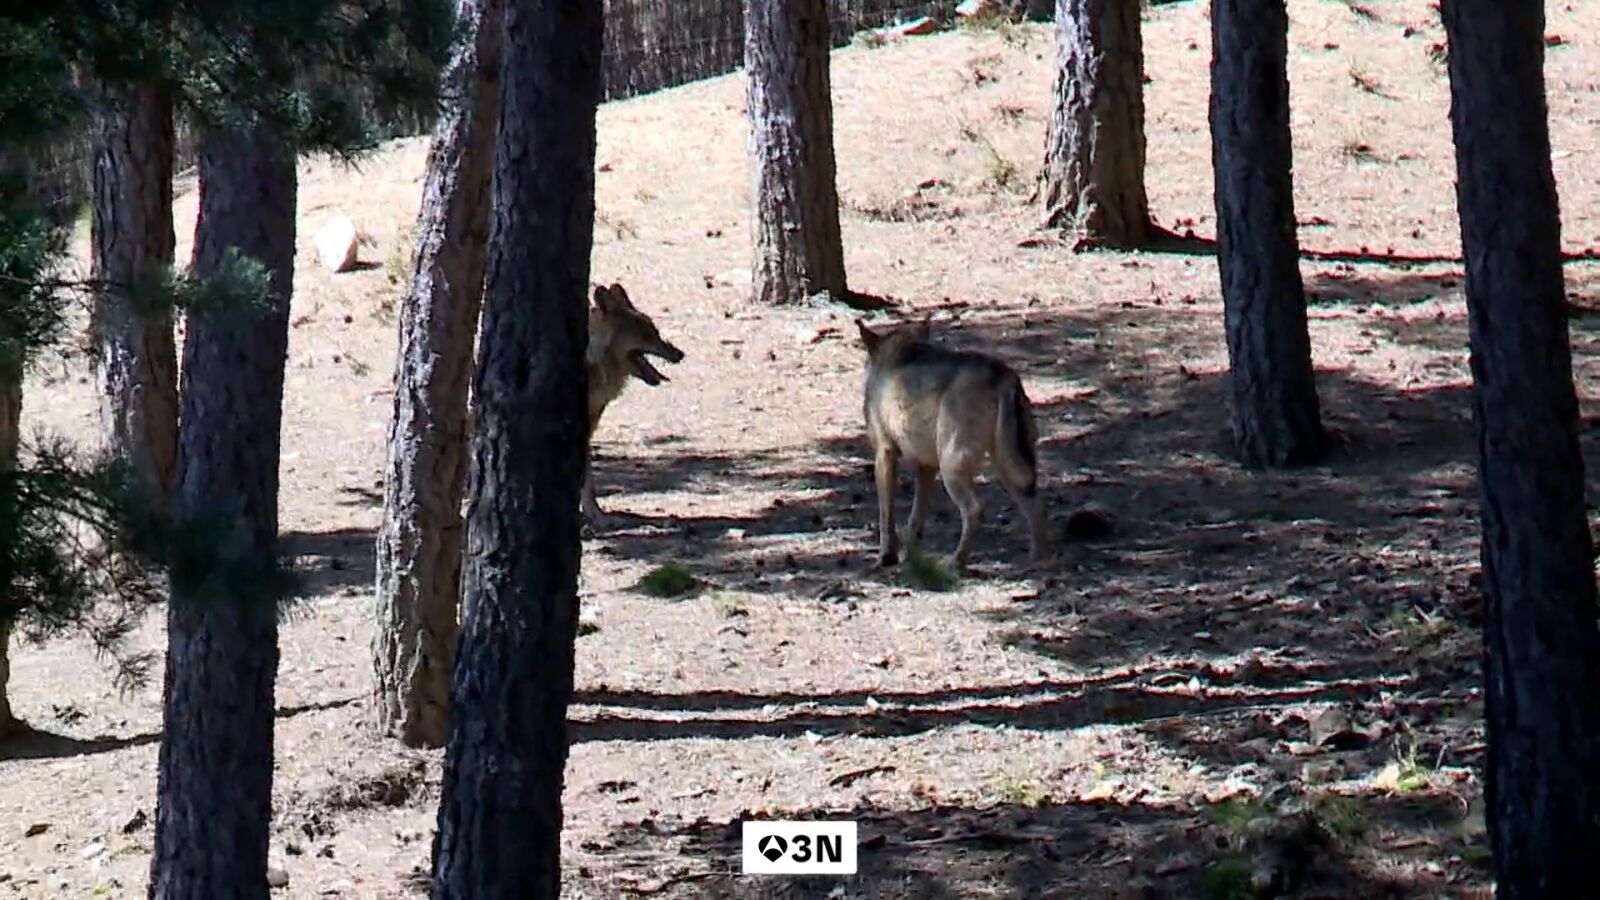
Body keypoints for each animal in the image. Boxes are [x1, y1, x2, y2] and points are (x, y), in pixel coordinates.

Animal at [856, 317, 1049, 570]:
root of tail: (1001, 374)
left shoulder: (885, 456)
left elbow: (886, 517)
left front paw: (886, 557)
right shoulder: (926, 468)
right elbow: (916, 519)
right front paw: (911, 556)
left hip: (953, 472)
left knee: (975, 510)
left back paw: (956, 561)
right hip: (1010, 470)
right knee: (1038, 507)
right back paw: (1037, 561)